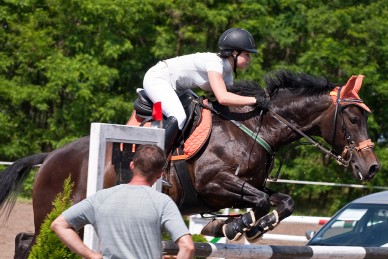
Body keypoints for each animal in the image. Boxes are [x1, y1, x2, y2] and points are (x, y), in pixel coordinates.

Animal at [0, 70, 380, 258]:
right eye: (352, 118)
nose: (372, 167)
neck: (253, 129)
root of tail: (51, 156)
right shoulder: (214, 184)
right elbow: (258, 200)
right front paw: (234, 225)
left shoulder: (248, 185)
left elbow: (283, 201)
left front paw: (241, 225)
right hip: (58, 210)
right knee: (27, 240)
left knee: (25, 238)